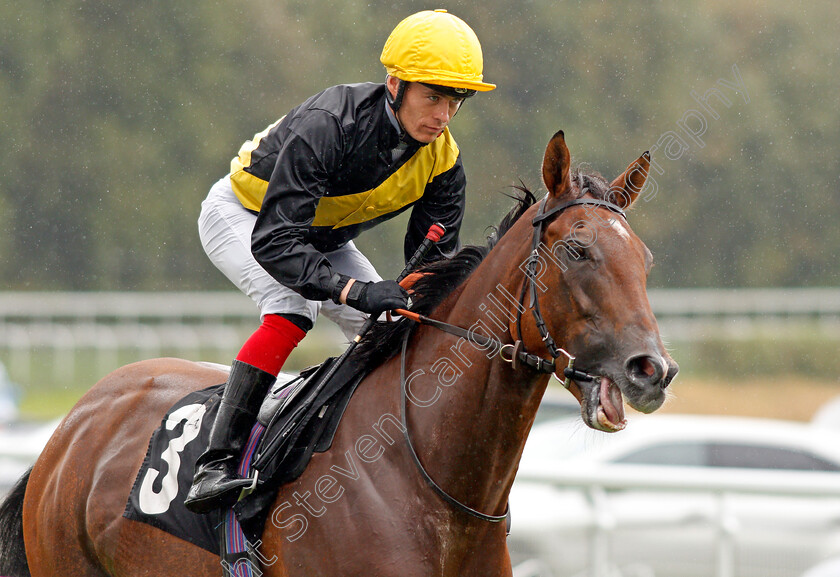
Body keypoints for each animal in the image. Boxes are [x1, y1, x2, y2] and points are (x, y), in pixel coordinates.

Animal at [0, 130, 676, 576]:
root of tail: (73, 424)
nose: (653, 371)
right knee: (287, 309)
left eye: (644, 259)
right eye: (577, 251)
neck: (436, 486)